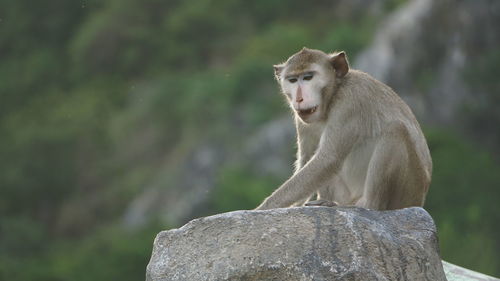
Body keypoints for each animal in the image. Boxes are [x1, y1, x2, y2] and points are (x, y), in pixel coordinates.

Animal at [256, 47, 432, 210]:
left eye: (308, 77)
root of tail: (420, 200)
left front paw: (263, 208)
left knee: (396, 129)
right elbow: (308, 160)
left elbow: (328, 159)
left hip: (410, 190)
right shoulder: (301, 120)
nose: (299, 98)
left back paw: (368, 205)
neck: (333, 93)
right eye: (292, 80)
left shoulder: (350, 102)